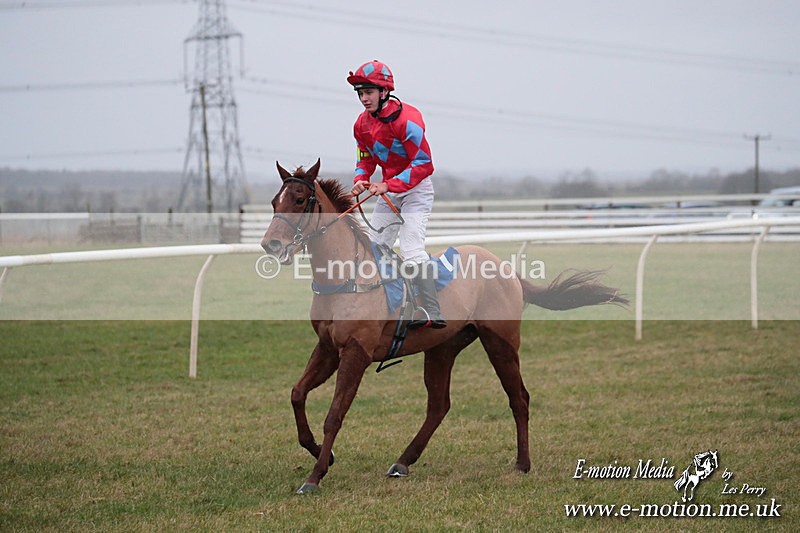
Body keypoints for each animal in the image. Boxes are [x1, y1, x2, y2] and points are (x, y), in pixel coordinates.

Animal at [261, 159, 628, 494]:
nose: (271, 245)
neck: (348, 276)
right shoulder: (327, 348)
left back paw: (522, 464)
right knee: (439, 405)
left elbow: (335, 414)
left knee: (518, 397)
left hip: (501, 342)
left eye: (299, 200)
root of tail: (506, 268)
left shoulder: (355, 353)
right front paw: (322, 454)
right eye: (274, 202)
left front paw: (314, 477)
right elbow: (297, 394)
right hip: (442, 348)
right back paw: (403, 461)